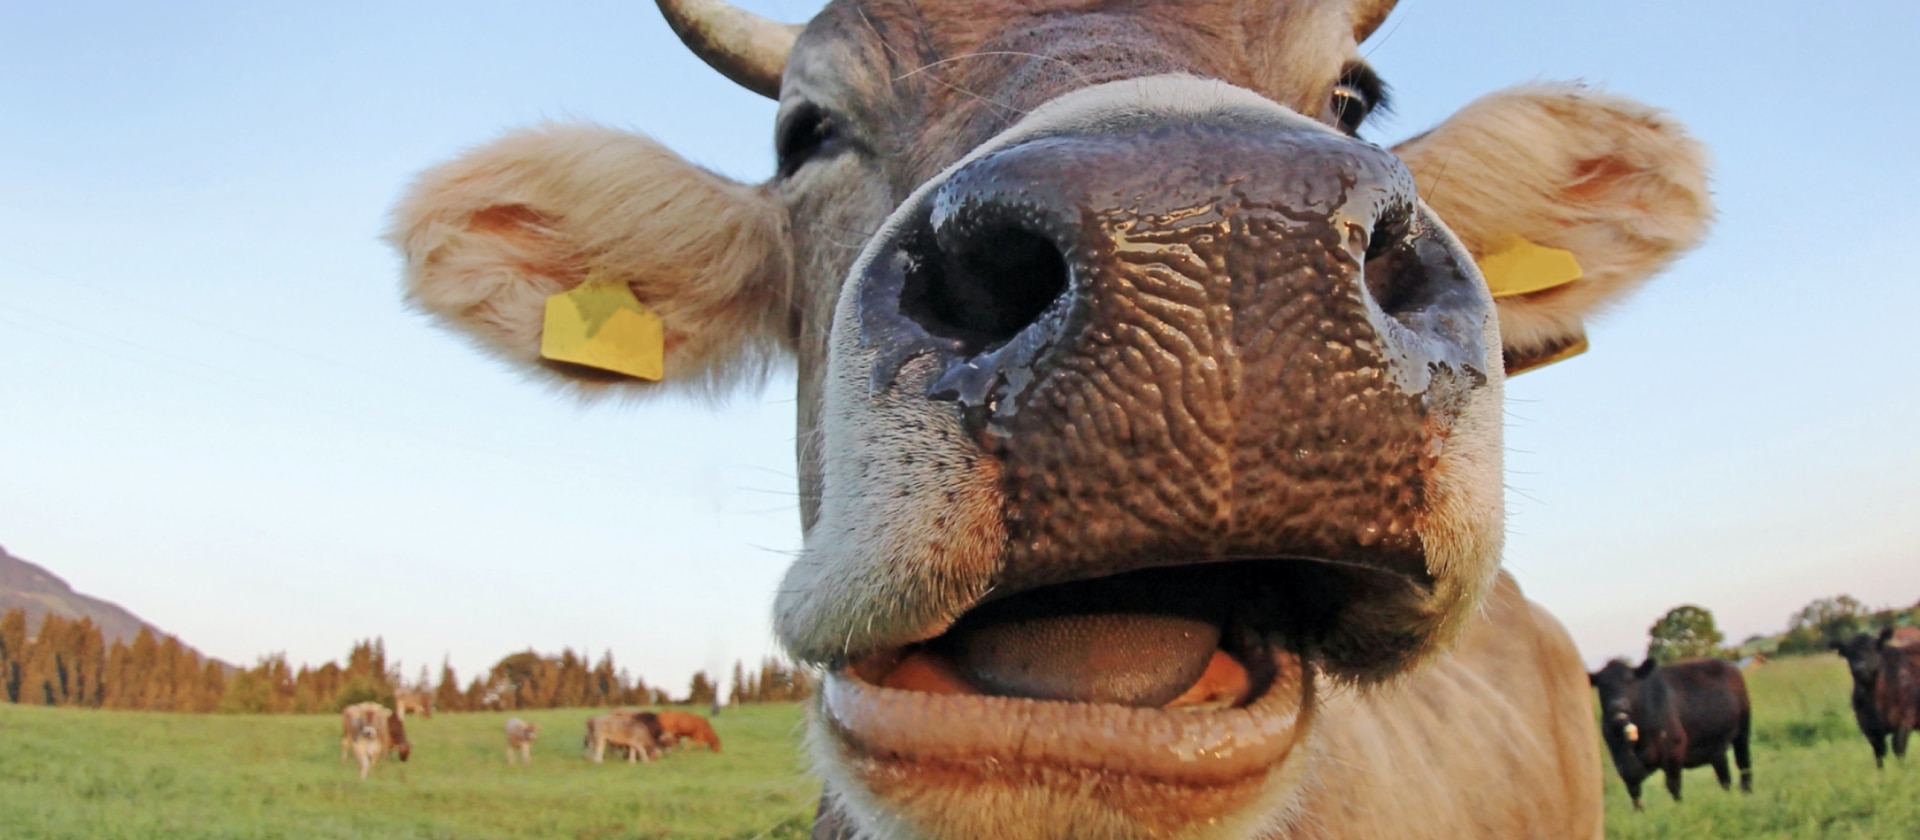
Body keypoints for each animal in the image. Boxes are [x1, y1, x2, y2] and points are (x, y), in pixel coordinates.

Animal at [1588, 658, 1753, 810]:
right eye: (1603, 685)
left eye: (1629, 681)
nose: (1618, 705)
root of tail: (1728, 664)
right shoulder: (1622, 762)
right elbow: (1634, 791)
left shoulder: (1673, 749)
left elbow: (1673, 785)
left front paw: (1679, 809)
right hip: (1715, 746)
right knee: (1724, 774)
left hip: (1742, 733)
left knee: (1743, 764)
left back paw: (1747, 793)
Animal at [1833, 628, 1920, 769]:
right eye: (1849, 653)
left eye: (1871, 649)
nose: (1859, 667)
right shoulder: (1869, 728)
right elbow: (1879, 753)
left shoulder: (1905, 720)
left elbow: (1898, 748)